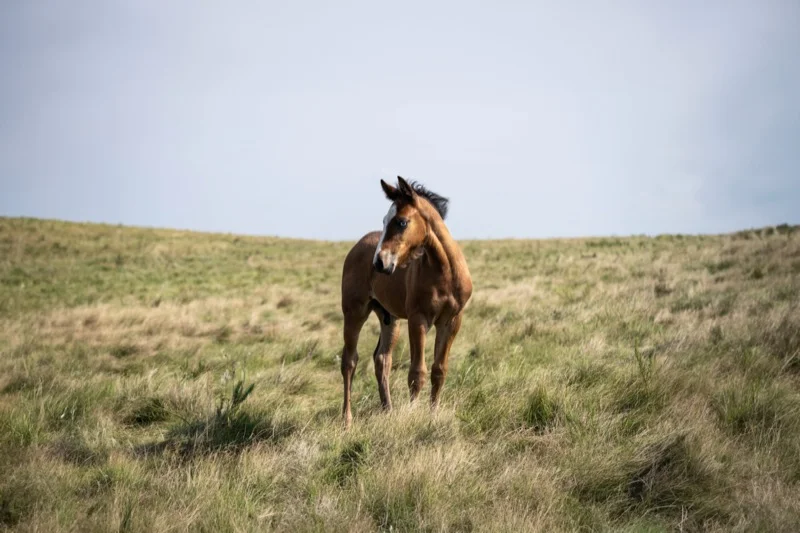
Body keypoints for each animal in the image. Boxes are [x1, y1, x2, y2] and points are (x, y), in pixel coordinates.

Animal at [340, 176, 473, 427]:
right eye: (384, 220)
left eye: (401, 222)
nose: (379, 263)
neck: (444, 272)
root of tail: (358, 245)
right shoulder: (418, 319)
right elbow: (416, 373)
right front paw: (411, 416)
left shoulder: (451, 321)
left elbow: (439, 370)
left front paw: (432, 417)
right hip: (354, 312)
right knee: (349, 361)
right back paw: (347, 421)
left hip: (389, 319)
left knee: (382, 359)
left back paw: (388, 411)